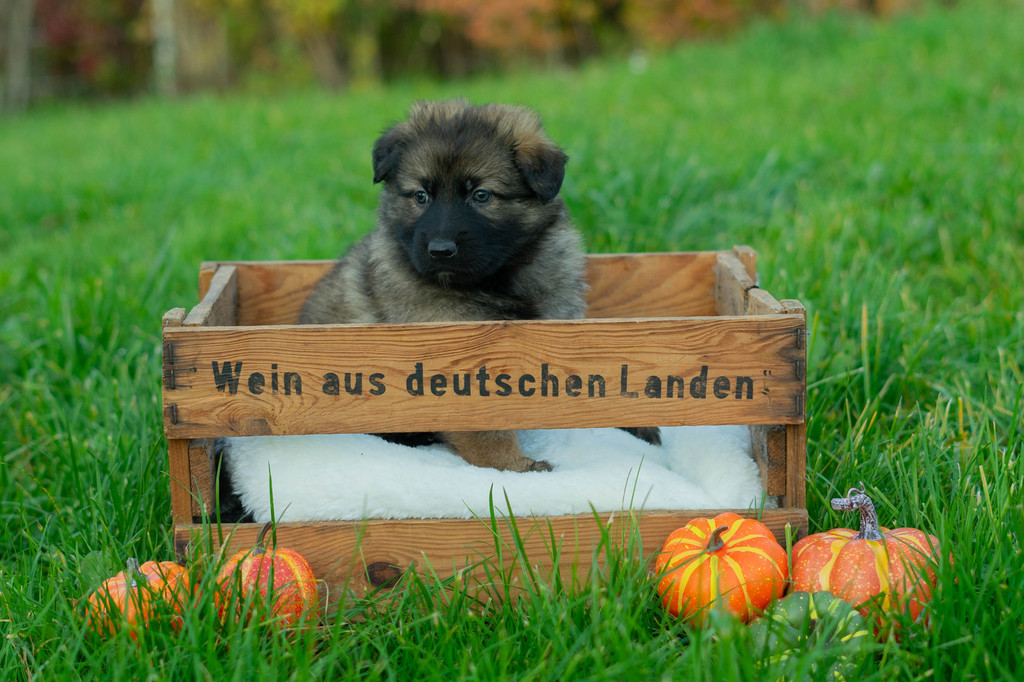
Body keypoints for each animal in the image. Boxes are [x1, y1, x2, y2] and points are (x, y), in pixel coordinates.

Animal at [299, 100, 659, 471]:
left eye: (481, 195)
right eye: (421, 196)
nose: (440, 250)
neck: (497, 282)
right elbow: (486, 424)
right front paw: (514, 465)